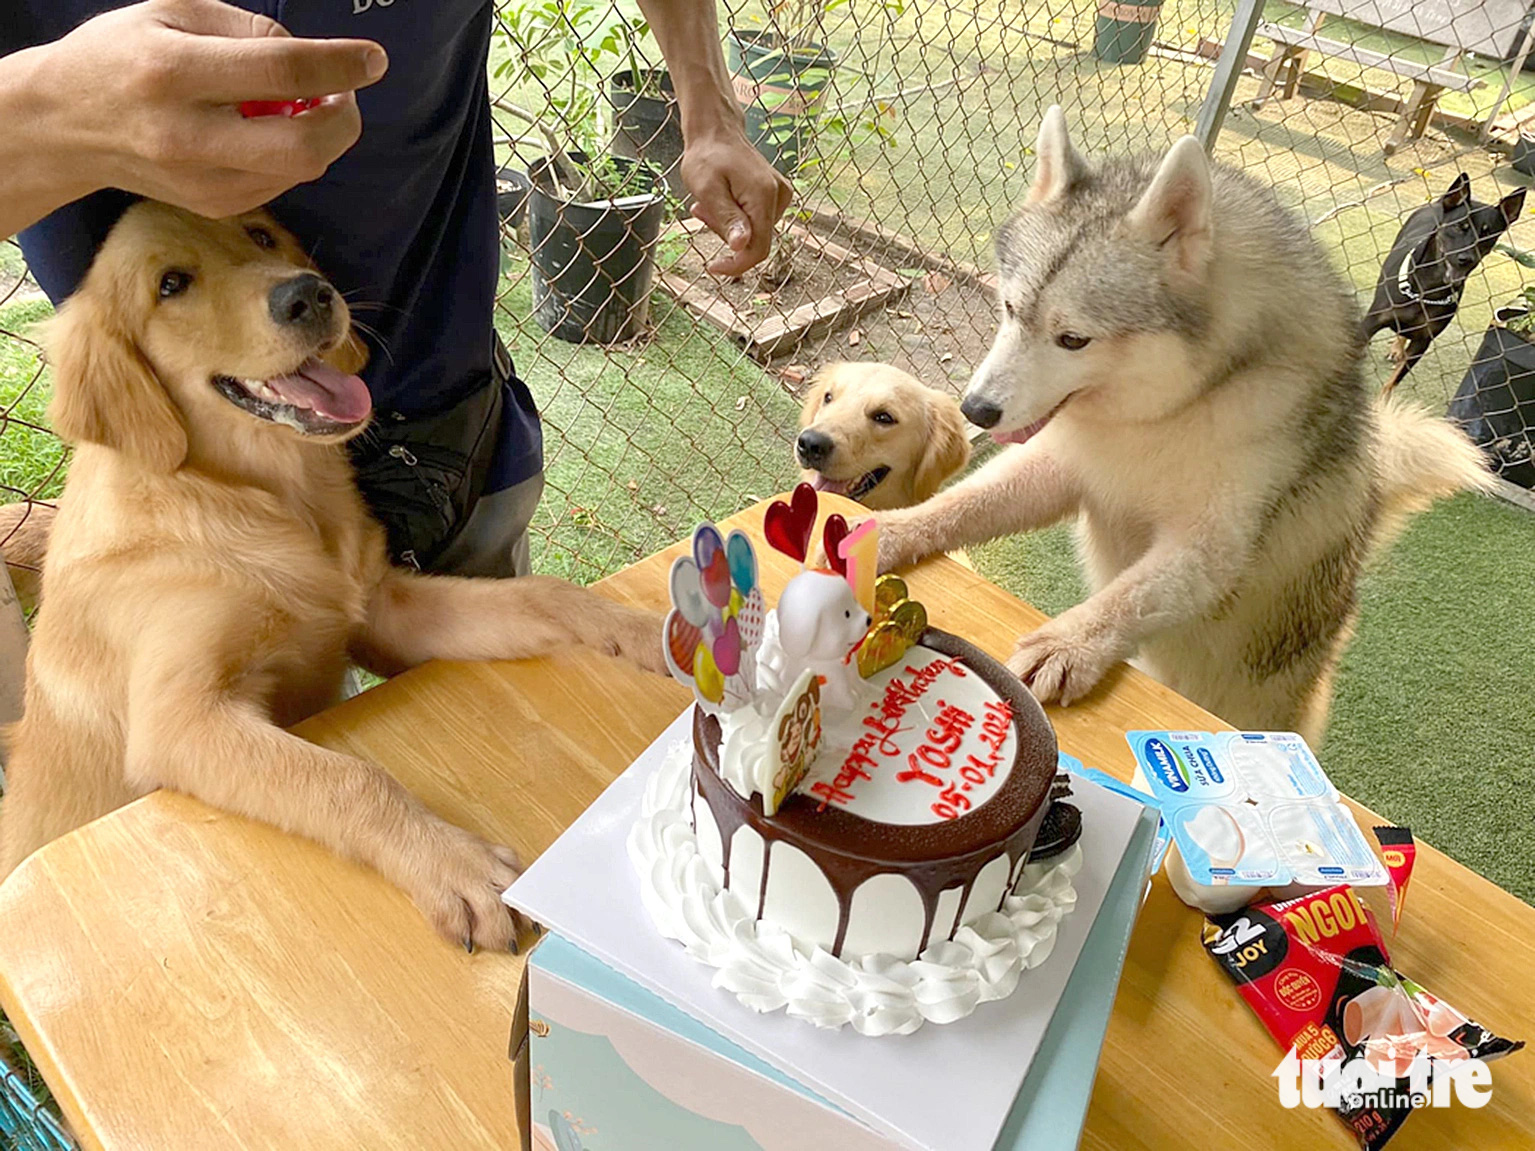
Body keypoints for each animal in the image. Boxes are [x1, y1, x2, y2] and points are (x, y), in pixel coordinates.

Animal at [2, 201, 669, 957]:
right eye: (170, 284)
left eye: (260, 235)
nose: (309, 295)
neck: (267, 494)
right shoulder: (179, 719)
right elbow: (348, 776)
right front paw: (453, 863)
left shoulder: (384, 611)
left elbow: (544, 593)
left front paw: (645, 630)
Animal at [878, 110, 1485, 748]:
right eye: (1011, 310)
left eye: (1073, 339)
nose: (975, 410)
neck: (1180, 404)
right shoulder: (1066, 466)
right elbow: (965, 503)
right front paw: (893, 528)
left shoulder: (1212, 544)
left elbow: (1132, 596)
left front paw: (1071, 642)